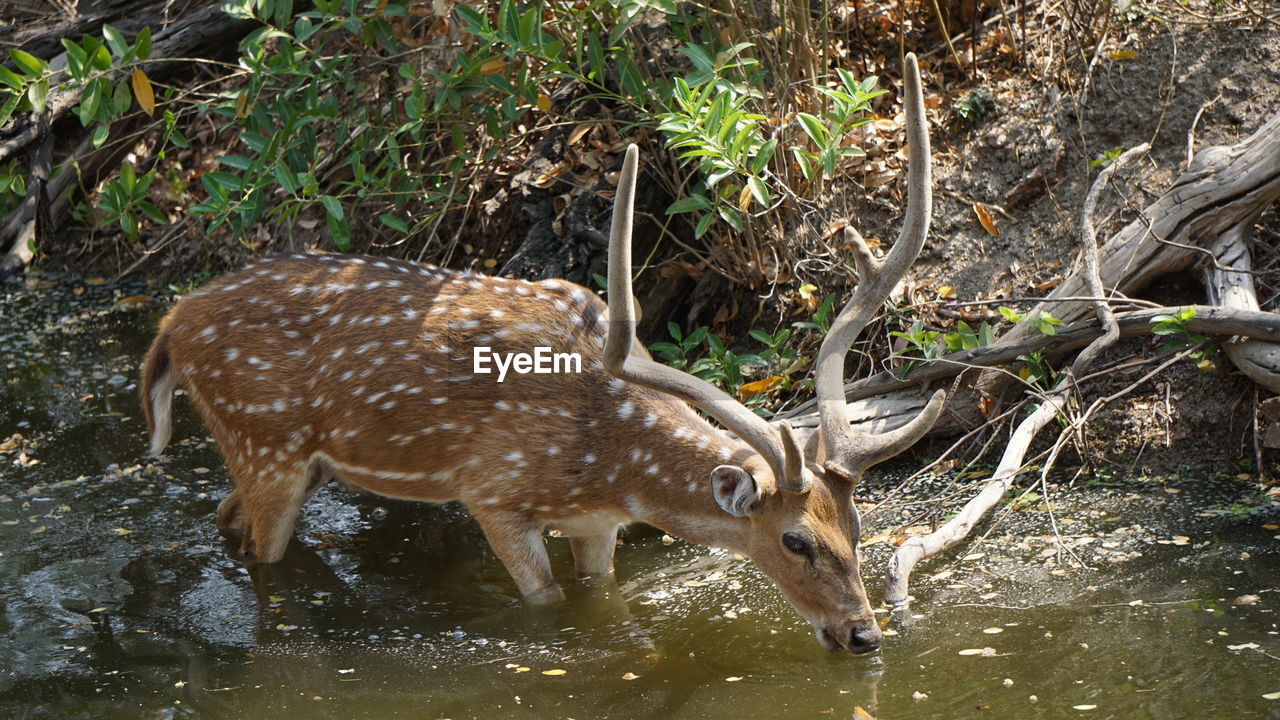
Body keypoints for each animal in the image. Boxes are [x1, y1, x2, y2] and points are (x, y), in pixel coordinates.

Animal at [145, 54, 947, 650]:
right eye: (794, 541)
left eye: (857, 528)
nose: (864, 636)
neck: (608, 461)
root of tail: (171, 324)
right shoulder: (492, 490)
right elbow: (548, 605)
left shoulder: (598, 526)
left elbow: (600, 600)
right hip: (264, 440)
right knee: (257, 548)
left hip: (291, 457)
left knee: (224, 516)